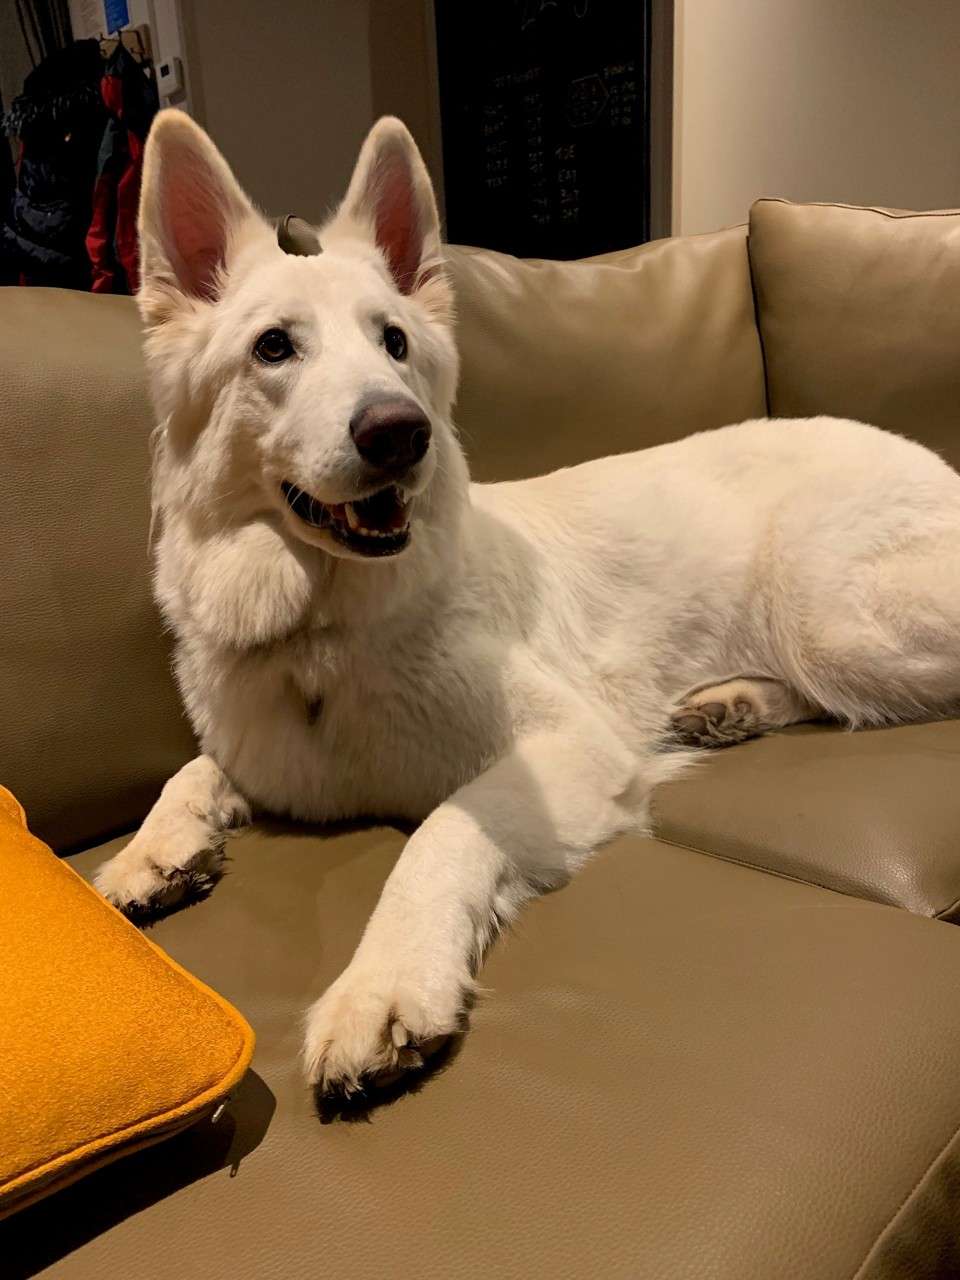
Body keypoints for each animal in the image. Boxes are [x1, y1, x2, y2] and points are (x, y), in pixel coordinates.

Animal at [94, 110, 960, 1095]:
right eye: (274, 346)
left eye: (395, 343)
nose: (402, 434)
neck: (324, 632)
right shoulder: (265, 753)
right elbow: (192, 770)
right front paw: (151, 850)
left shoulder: (566, 749)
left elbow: (439, 832)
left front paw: (386, 983)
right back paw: (730, 705)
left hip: (833, 622)